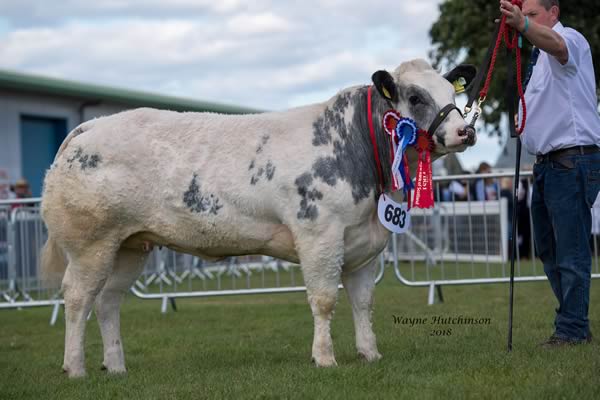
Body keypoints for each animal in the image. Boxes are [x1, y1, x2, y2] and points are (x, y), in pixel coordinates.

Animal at [39, 57, 476, 376]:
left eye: (451, 92)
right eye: (416, 97)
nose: (465, 131)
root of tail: (90, 126)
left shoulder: (365, 244)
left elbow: (363, 302)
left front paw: (370, 354)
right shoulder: (319, 232)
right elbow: (323, 300)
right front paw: (325, 358)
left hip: (131, 244)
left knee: (108, 301)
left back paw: (116, 367)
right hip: (91, 242)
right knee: (77, 297)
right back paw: (75, 368)